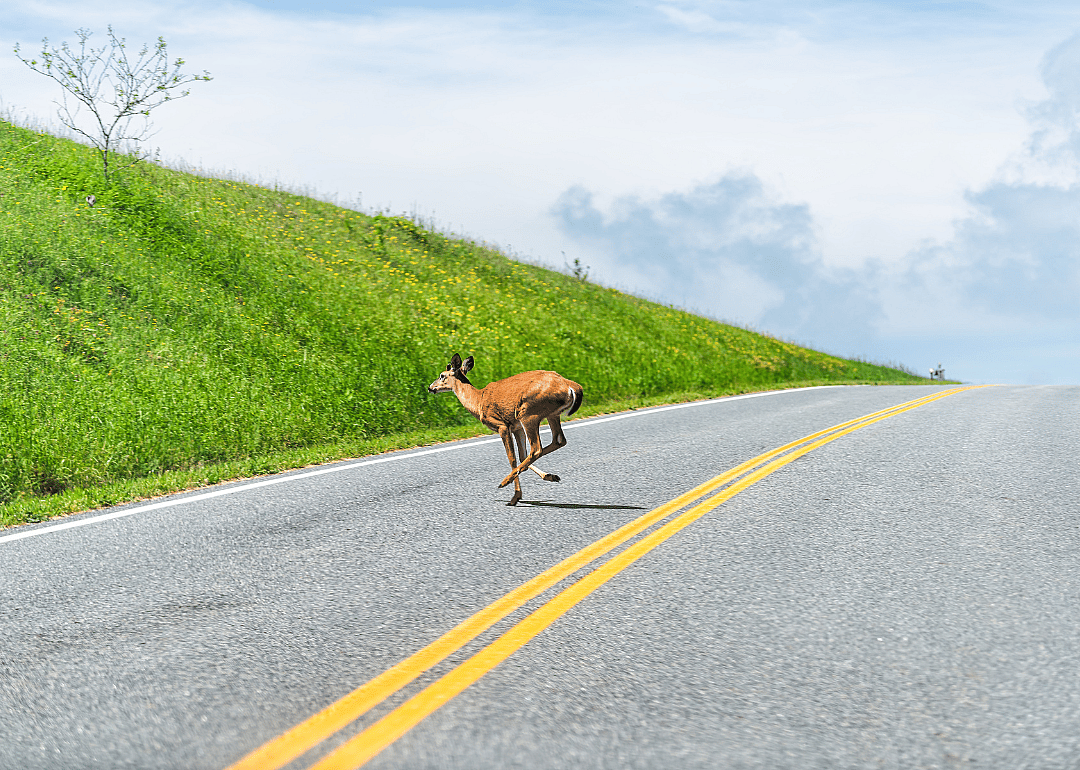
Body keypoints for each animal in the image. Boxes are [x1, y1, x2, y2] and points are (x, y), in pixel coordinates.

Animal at [427, 354, 584, 506]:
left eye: (442, 375)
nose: (430, 388)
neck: (478, 401)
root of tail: (570, 385)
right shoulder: (516, 427)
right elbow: (521, 455)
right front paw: (548, 477)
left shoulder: (501, 425)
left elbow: (512, 458)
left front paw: (516, 496)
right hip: (551, 414)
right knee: (558, 440)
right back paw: (550, 476)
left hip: (528, 413)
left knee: (536, 449)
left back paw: (504, 482)